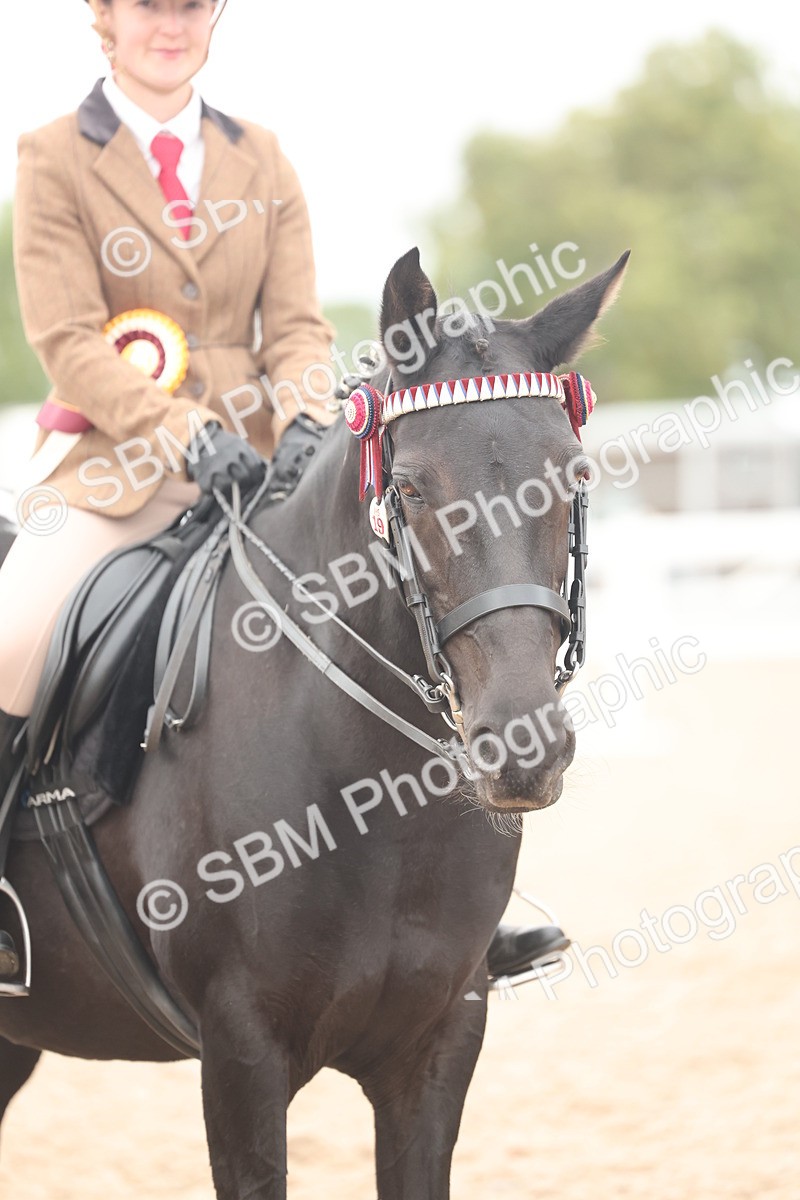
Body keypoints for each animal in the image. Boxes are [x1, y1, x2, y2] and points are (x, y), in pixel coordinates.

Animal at [0, 246, 628, 1199]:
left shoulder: (437, 1046)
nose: (524, 749)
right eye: (409, 488)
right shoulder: (241, 1055)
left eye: (573, 477)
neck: (377, 802)